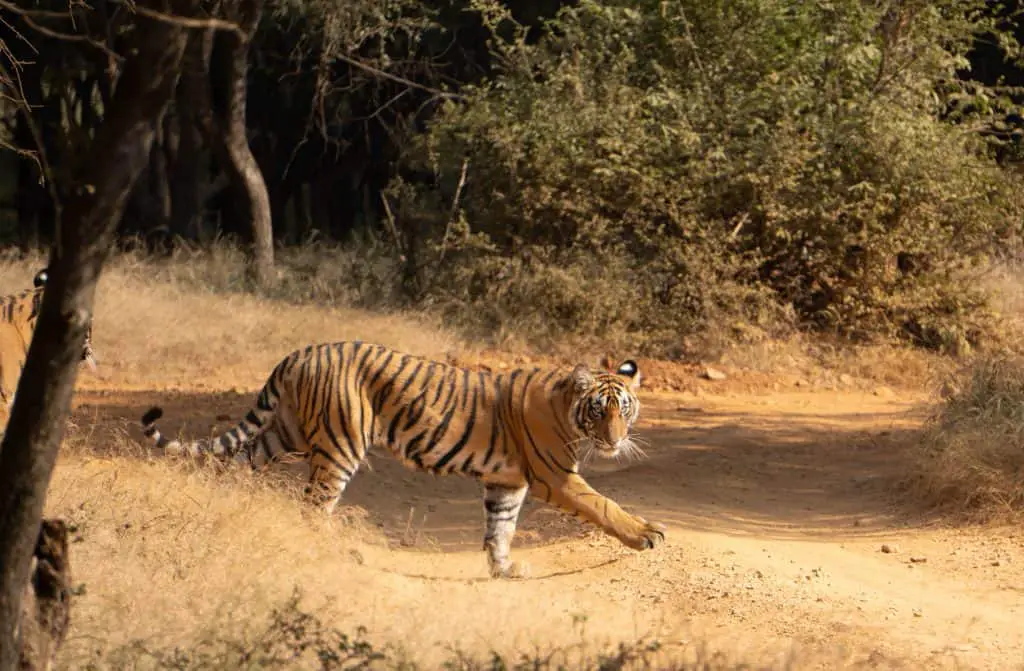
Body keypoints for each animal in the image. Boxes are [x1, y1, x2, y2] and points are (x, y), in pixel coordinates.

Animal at [140, 342, 667, 577]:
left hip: (285, 433)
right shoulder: (555, 476)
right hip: (340, 445)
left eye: (625, 409)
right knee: (314, 505)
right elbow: (605, 506)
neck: (566, 409)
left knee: (234, 462)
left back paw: (222, 504)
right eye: (599, 410)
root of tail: (300, 353)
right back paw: (334, 552)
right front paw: (647, 534)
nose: (615, 440)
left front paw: (503, 570)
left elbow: (501, 528)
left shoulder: (508, 482)